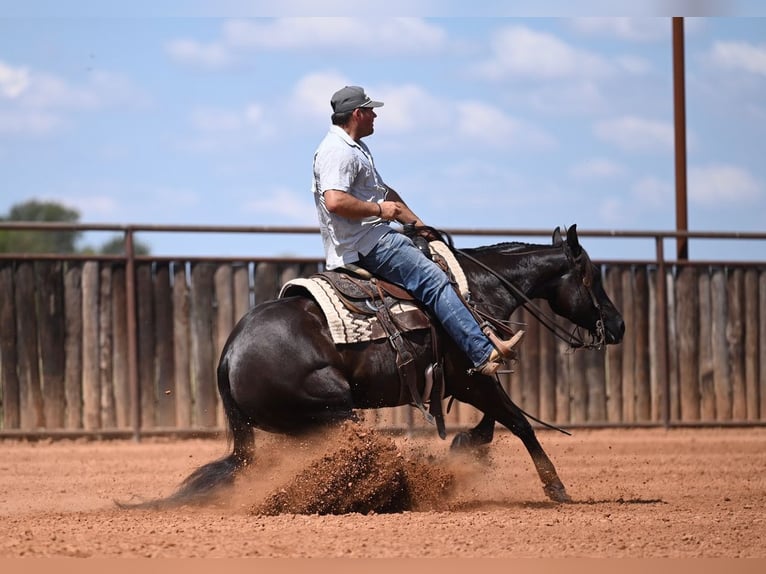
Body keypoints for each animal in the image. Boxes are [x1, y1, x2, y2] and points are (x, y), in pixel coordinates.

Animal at [125, 224, 624, 508]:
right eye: (591, 277)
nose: (618, 325)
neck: (473, 288)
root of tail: (229, 355)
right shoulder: (471, 377)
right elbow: (519, 422)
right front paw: (555, 488)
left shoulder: (465, 383)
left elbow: (498, 421)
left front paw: (468, 444)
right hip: (333, 408)